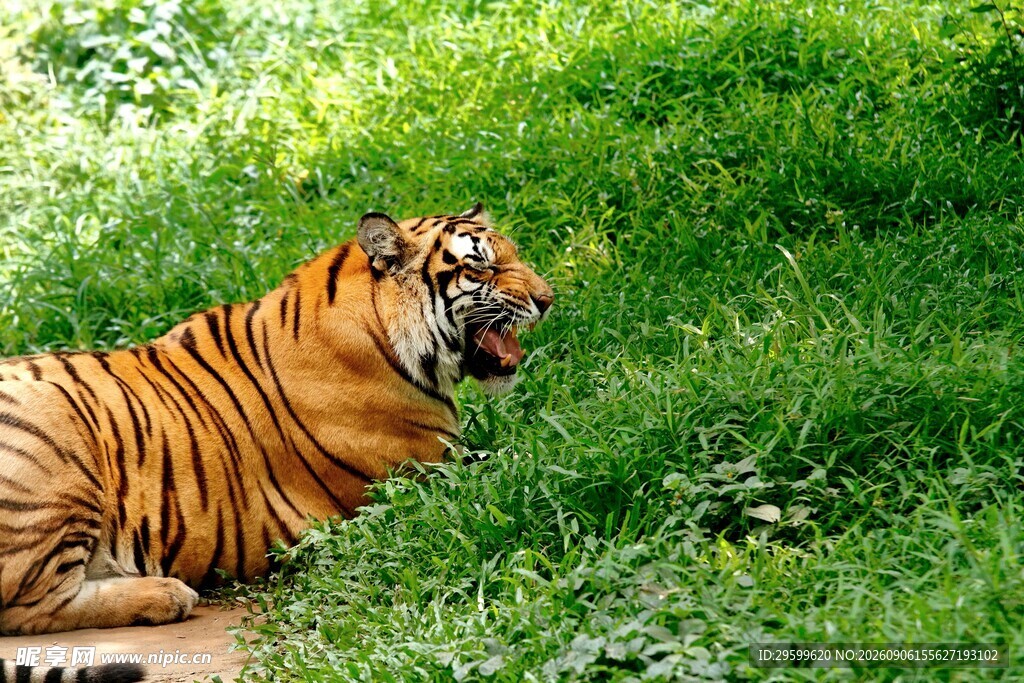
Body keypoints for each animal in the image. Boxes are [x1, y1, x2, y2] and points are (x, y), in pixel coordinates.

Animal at [0, 204, 552, 679]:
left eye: (515, 254)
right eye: (482, 267)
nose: (547, 300)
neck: (384, 331)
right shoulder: (426, 477)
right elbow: (519, 463)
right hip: (57, 438)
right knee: (28, 607)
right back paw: (165, 595)